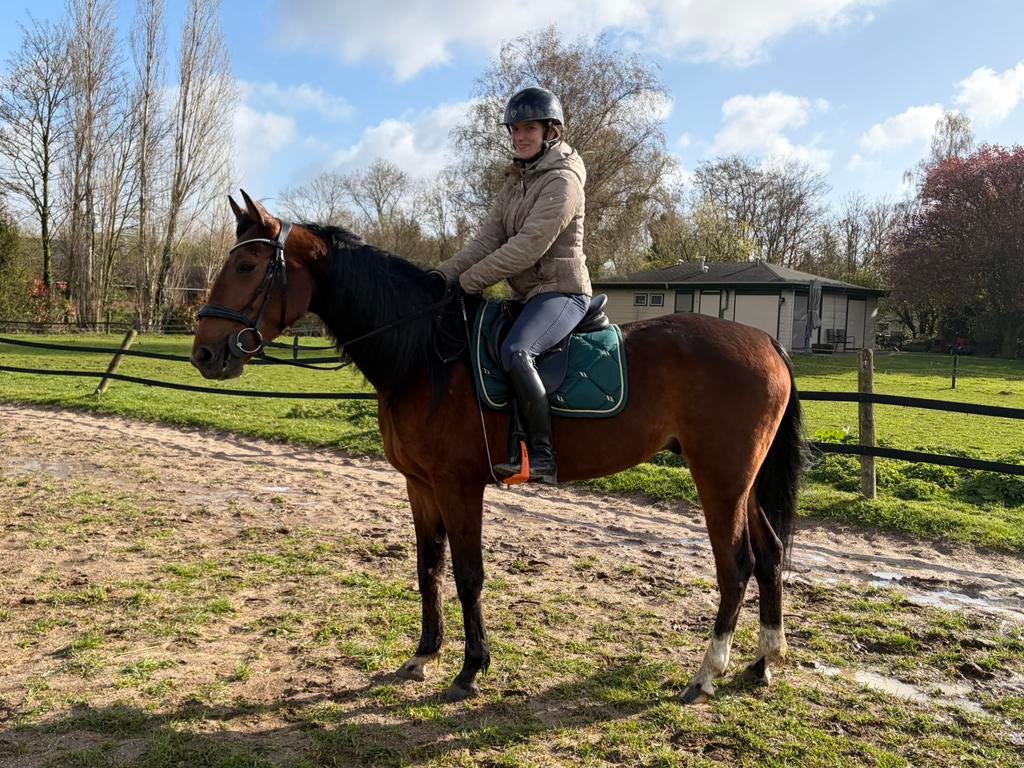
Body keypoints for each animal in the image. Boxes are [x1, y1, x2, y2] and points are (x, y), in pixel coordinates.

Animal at [191, 191, 804, 704]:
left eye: (246, 266)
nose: (204, 354)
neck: (428, 353)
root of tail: (764, 340)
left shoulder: (459, 487)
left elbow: (468, 574)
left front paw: (470, 670)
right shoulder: (419, 486)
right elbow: (429, 568)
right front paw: (424, 656)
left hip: (720, 480)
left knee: (738, 566)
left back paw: (706, 674)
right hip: (742, 482)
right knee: (770, 554)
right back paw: (761, 663)